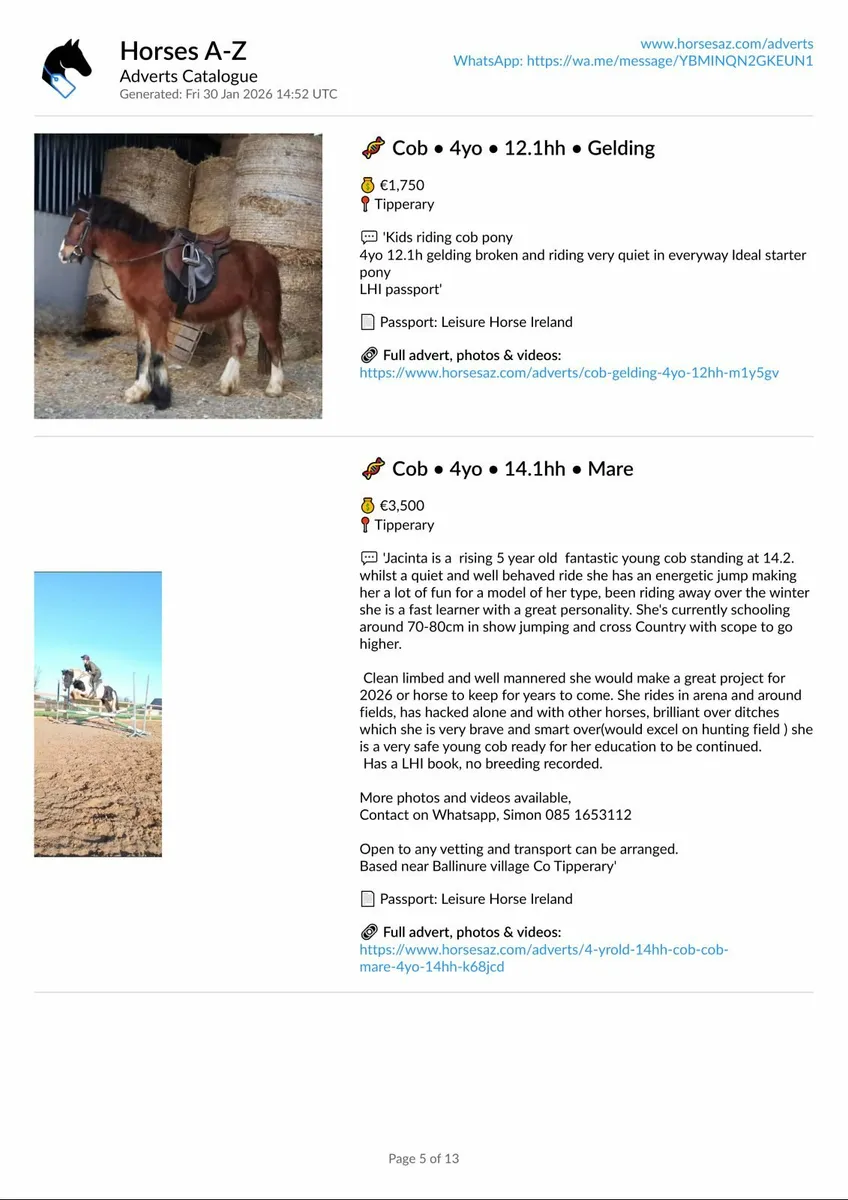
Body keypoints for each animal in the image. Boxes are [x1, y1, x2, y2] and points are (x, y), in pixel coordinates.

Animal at [58, 195, 285, 410]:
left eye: (78, 222)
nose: (63, 253)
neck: (143, 259)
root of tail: (267, 255)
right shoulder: (140, 314)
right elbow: (143, 352)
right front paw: (138, 391)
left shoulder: (158, 316)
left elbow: (158, 354)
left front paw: (161, 398)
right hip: (234, 311)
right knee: (238, 343)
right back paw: (226, 385)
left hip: (265, 307)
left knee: (274, 343)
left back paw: (274, 388)